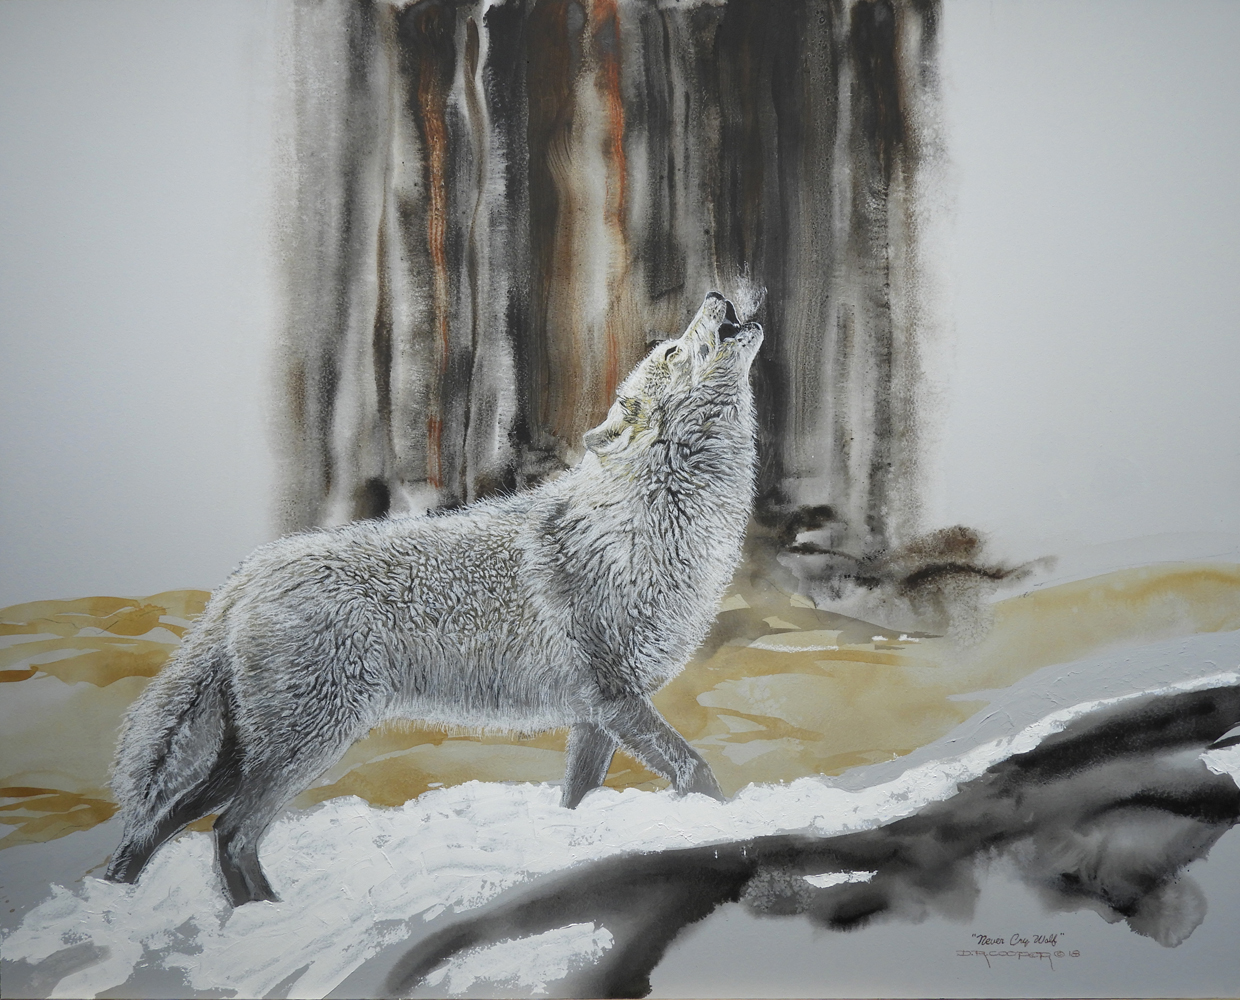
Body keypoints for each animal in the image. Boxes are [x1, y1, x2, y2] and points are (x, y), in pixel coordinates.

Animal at [104, 292, 762, 905]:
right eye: (672, 351)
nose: (717, 297)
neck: (652, 525)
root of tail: (247, 576)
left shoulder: (596, 716)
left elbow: (575, 799)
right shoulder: (616, 698)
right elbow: (697, 771)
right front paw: (723, 829)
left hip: (251, 751)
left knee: (156, 824)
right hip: (306, 743)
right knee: (228, 832)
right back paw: (262, 919)